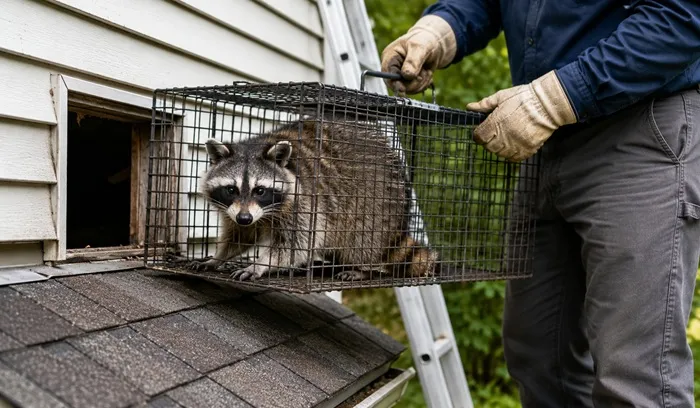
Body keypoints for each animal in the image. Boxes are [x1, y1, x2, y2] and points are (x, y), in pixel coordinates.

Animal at [189, 119, 438, 282]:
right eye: (231, 189)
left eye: (260, 191)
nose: (244, 218)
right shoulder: (237, 211)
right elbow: (241, 237)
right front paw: (218, 257)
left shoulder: (304, 202)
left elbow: (295, 243)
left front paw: (261, 264)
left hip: (377, 207)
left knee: (362, 240)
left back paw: (361, 268)